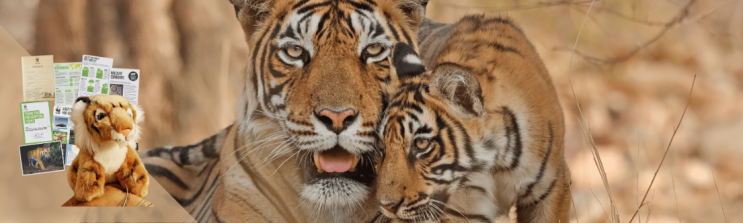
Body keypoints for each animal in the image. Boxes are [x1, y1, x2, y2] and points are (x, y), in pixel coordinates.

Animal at [374, 15, 572, 221]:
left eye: (421, 144)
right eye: (381, 147)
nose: (387, 206)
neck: (495, 164)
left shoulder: (551, 189)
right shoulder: (462, 210)